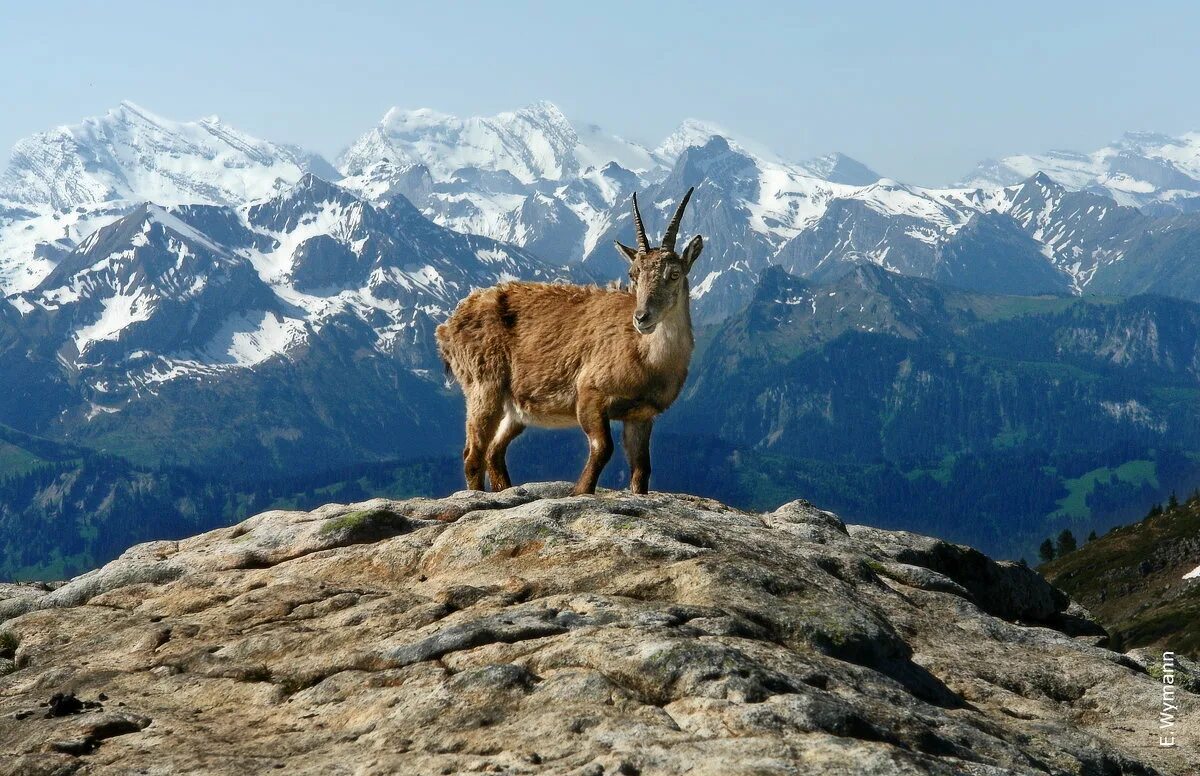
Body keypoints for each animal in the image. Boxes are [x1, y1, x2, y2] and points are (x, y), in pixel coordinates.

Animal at [439, 184, 700, 494]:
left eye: (674, 274)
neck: (647, 358)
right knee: (473, 455)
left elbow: (641, 470)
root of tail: (448, 326)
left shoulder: (640, 415)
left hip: (514, 409)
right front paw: (579, 491)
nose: (642, 317)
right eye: (633, 274)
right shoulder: (589, 394)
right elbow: (602, 448)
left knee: (494, 452)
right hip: (483, 386)